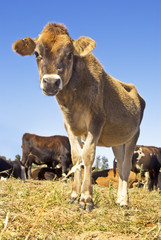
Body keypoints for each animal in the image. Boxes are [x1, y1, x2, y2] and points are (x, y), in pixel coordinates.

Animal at [12, 22, 146, 210]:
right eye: (37, 53)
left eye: (69, 54)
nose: (51, 82)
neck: (72, 100)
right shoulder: (69, 125)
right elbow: (76, 158)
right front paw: (74, 195)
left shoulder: (96, 122)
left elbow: (87, 155)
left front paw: (86, 198)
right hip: (117, 141)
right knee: (120, 165)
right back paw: (119, 199)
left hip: (134, 134)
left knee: (126, 166)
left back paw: (124, 201)